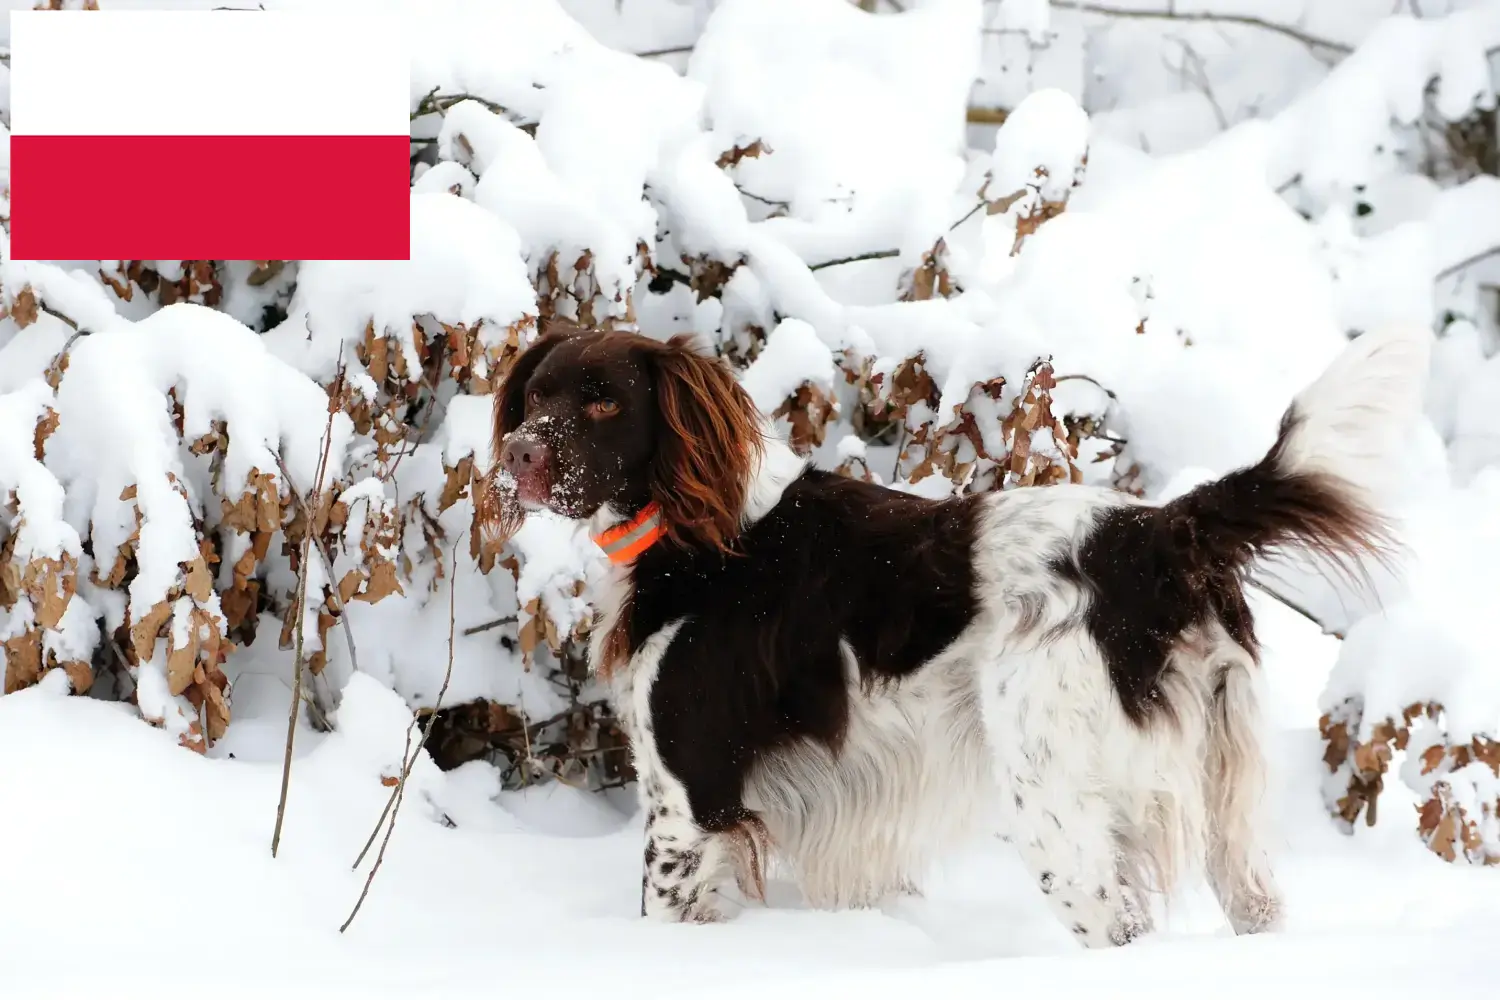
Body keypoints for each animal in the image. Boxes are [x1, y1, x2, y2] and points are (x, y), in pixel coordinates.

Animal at [480, 320, 1428, 947]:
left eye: (605, 404)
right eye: (536, 396)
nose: (519, 453)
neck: (700, 530)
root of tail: (1159, 534)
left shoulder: (691, 797)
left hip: (1052, 799)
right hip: (1226, 796)